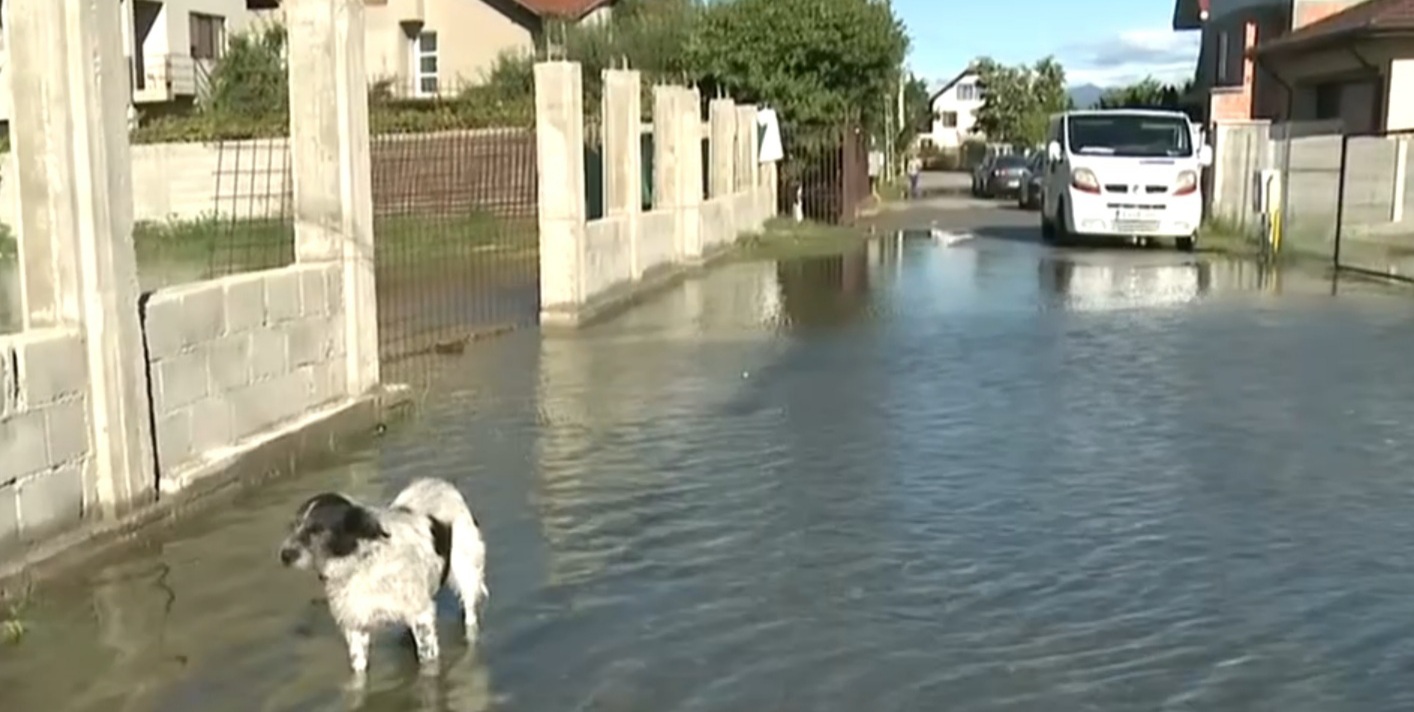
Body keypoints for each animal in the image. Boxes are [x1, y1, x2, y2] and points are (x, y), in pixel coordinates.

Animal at [278, 477, 489, 672]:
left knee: (470, 614)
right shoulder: (356, 626)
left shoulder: (421, 616)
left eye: (318, 529)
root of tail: (439, 483)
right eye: (294, 526)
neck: (360, 564)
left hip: (466, 574)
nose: (284, 555)